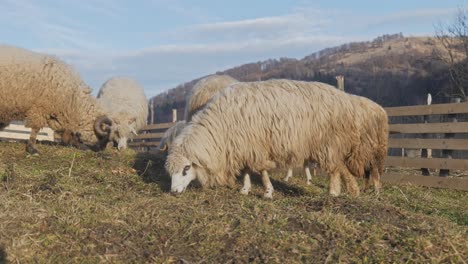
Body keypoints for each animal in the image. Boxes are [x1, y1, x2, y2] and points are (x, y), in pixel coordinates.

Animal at [165, 79, 388, 197]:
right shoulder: (244, 146)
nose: (173, 191)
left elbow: (262, 171)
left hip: (329, 144)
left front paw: (267, 192)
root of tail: (345, 99)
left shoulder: (256, 145)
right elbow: (246, 170)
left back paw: (334, 192)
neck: (219, 128)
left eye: (186, 168)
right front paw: (245, 189)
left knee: (335, 169)